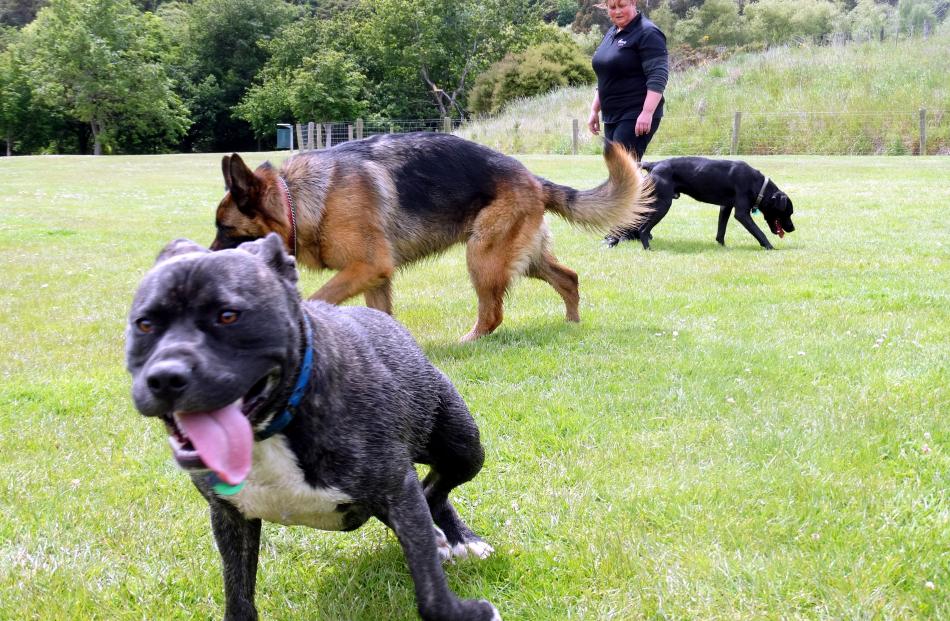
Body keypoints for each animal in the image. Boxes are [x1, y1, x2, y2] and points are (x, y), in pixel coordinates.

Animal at [124, 234, 506, 620]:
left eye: (229, 316)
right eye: (144, 324)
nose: (165, 377)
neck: (271, 428)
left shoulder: (397, 490)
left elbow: (429, 588)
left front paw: (463, 613)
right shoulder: (230, 516)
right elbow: (238, 593)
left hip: (464, 448)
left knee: (434, 488)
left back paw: (462, 539)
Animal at [211, 133, 652, 342]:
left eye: (225, 230)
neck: (296, 199)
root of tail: (531, 177)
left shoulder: (366, 266)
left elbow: (315, 300)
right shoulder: (376, 277)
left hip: (482, 257)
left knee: (493, 314)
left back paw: (468, 341)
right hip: (523, 258)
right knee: (569, 278)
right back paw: (572, 324)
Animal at [608, 155, 796, 249]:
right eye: (788, 212)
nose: (792, 229)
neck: (758, 185)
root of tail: (654, 164)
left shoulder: (725, 207)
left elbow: (721, 230)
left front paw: (722, 246)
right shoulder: (741, 213)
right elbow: (759, 232)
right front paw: (769, 247)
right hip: (662, 205)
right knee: (643, 229)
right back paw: (647, 248)